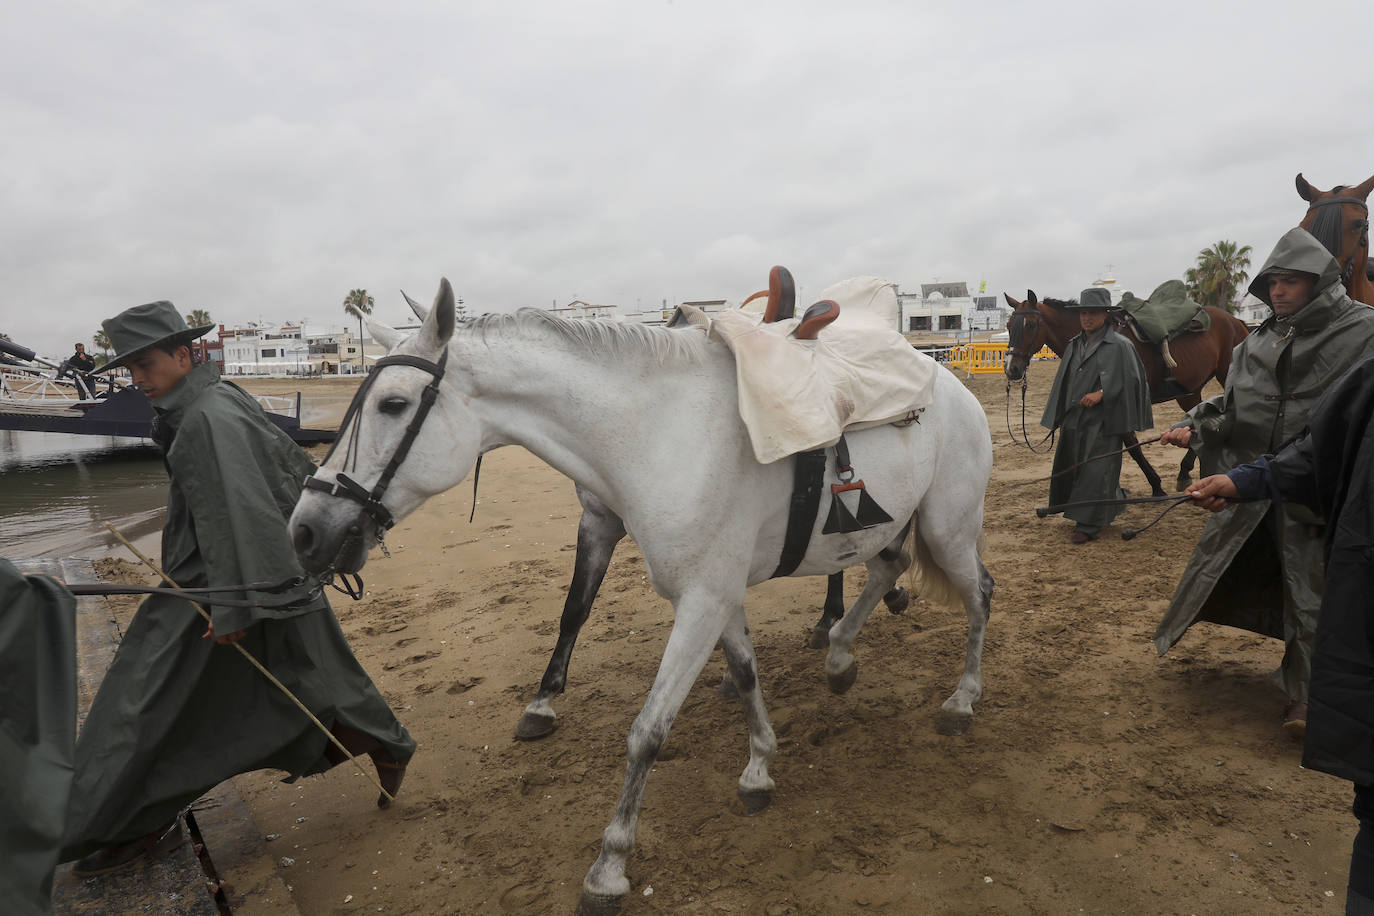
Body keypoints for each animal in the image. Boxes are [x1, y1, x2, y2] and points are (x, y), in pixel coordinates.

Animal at [292, 281, 1000, 916]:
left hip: (948, 528)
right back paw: (840, 656)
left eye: (393, 404)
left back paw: (961, 699)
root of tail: (949, 382)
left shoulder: (702, 603)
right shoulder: (717, 597)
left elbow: (649, 732)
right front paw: (759, 766)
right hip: (899, 527)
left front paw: (610, 866)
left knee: (980, 596)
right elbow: (745, 674)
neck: (660, 434)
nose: (305, 529)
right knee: (890, 570)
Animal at [1005, 293, 1253, 494]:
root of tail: (1234, 320)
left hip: (1224, 374)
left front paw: (1156, 486)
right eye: (1008, 325)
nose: (1011, 369)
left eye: (1030, 325)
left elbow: (1131, 444)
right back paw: (1184, 472)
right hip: (1188, 392)